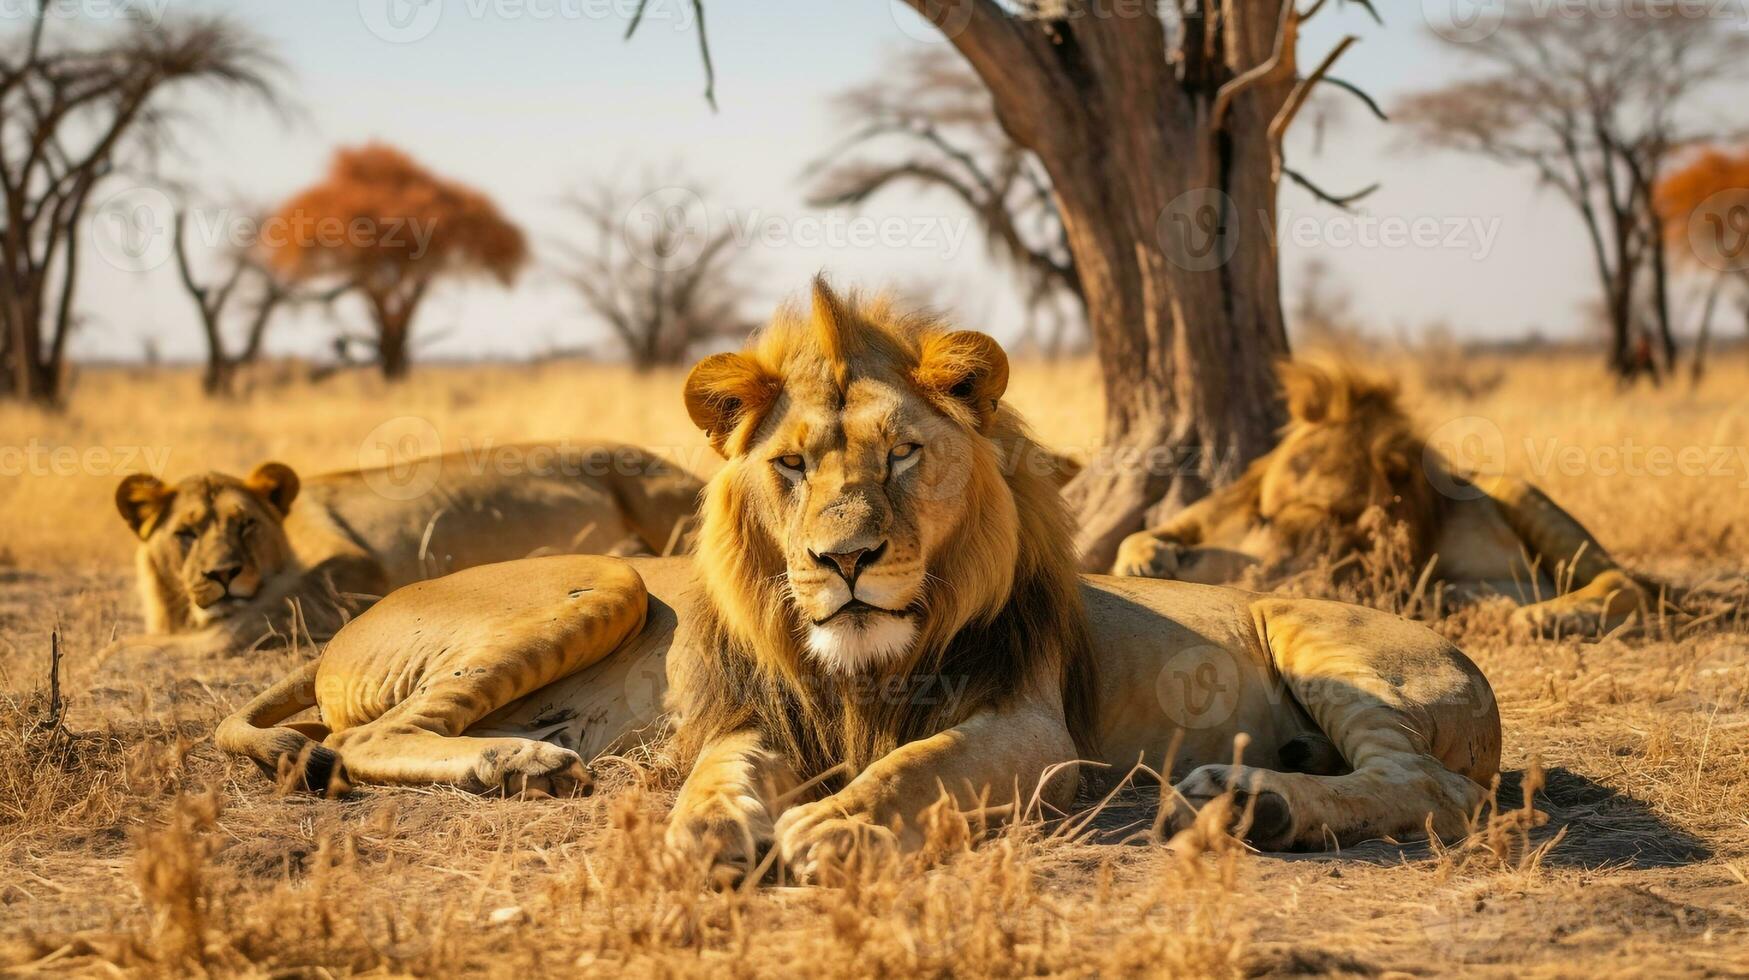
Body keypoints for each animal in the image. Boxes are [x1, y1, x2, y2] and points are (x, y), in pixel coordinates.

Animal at [111, 444, 703, 658]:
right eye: (185, 533)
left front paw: (122, 651)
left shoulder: (355, 566)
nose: (223, 573)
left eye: (247, 525)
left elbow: (241, 622)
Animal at [218, 280, 1504, 868]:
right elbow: (720, 776)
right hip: (600, 583)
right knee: (363, 735)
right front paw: (702, 832)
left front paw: (830, 827)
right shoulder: (755, 715)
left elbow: (914, 768)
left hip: (1321, 632)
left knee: (1433, 784)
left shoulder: (1030, 727)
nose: (842, 559)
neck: (866, 660)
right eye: (790, 464)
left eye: (903, 455)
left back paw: (1256, 800)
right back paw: (516, 760)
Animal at [1112, 360, 1658, 637]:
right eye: (1265, 517)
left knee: (1627, 583)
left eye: (1348, 524)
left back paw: (1548, 616)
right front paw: (1144, 560)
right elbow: (1148, 532)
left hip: (1516, 491)